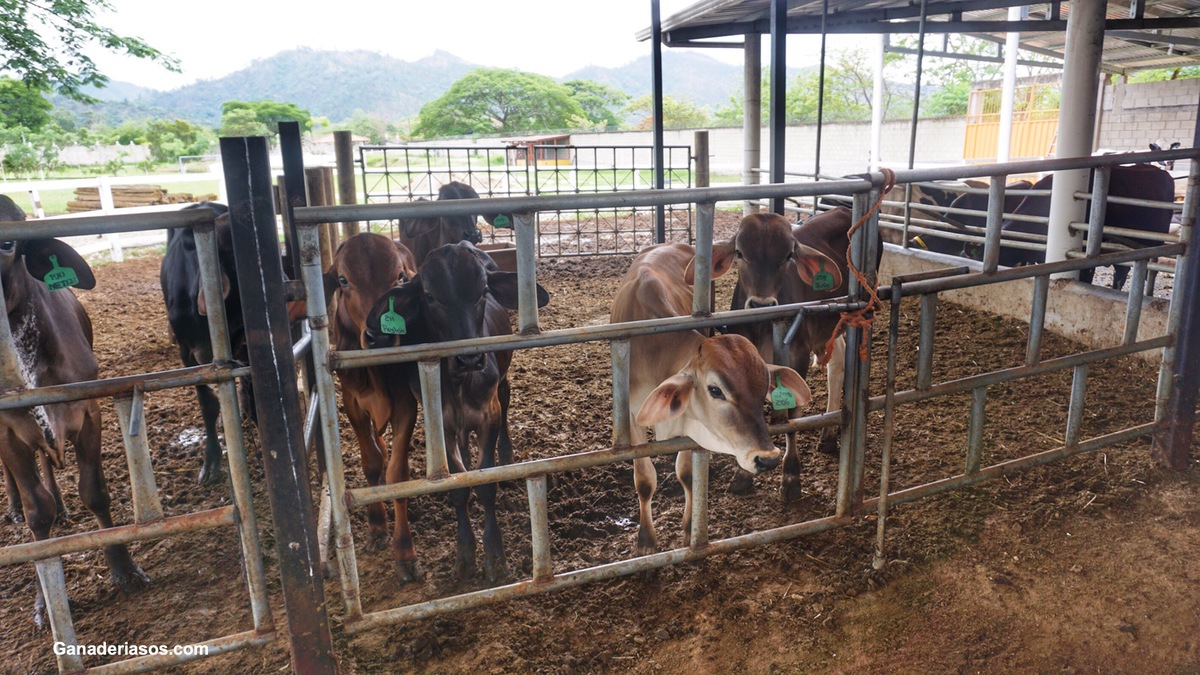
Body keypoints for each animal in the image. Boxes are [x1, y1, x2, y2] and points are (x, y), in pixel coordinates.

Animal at [0, 192, 148, 624]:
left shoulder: (88, 411)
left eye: (7, 244)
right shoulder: (8, 432)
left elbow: (94, 491)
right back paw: (13, 507)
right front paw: (46, 601)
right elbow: (37, 514)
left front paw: (124, 568)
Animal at [324, 230, 422, 578]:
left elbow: (397, 475)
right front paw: (377, 526)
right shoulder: (351, 402)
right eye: (343, 279)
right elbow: (372, 465)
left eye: (400, 277)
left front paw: (404, 550)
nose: (378, 335)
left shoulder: (406, 404)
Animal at [364, 240, 552, 578]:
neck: (458, 382)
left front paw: (495, 554)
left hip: (502, 380)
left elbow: (486, 483)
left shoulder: (488, 416)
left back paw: (507, 455)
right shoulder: (441, 424)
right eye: (429, 296)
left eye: (483, 291)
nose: (470, 359)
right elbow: (458, 486)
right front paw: (465, 553)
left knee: (506, 400)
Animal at [609, 241, 816, 552]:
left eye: (763, 388)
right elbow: (644, 480)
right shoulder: (634, 418)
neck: (654, 350)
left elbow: (686, 473)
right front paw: (646, 539)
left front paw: (688, 529)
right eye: (715, 390)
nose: (766, 458)